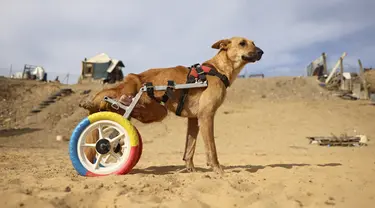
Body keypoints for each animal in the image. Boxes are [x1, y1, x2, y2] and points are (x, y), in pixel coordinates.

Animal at [80, 37, 264, 174]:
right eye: (242, 43)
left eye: (253, 42)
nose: (261, 52)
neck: (218, 69)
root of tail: (133, 77)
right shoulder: (206, 116)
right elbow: (211, 148)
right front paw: (217, 169)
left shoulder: (194, 119)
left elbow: (189, 148)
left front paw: (191, 169)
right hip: (143, 103)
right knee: (106, 98)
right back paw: (93, 101)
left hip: (154, 110)